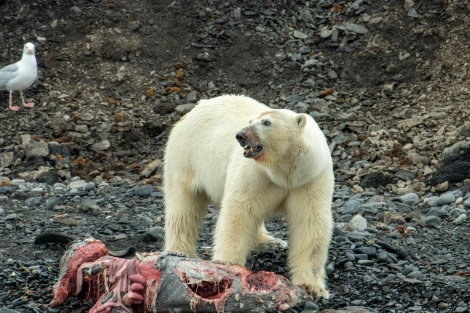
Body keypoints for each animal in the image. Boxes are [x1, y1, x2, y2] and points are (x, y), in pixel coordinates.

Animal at [163, 93, 332, 298]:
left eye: (267, 122)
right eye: (251, 121)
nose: (240, 135)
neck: (286, 173)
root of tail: (196, 108)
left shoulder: (310, 179)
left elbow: (310, 223)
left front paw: (312, 287)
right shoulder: (256, 173)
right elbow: (240, 211)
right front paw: (227, 265)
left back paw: (270, 242)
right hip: (186, 156)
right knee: (183, 206)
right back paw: (181, 253)